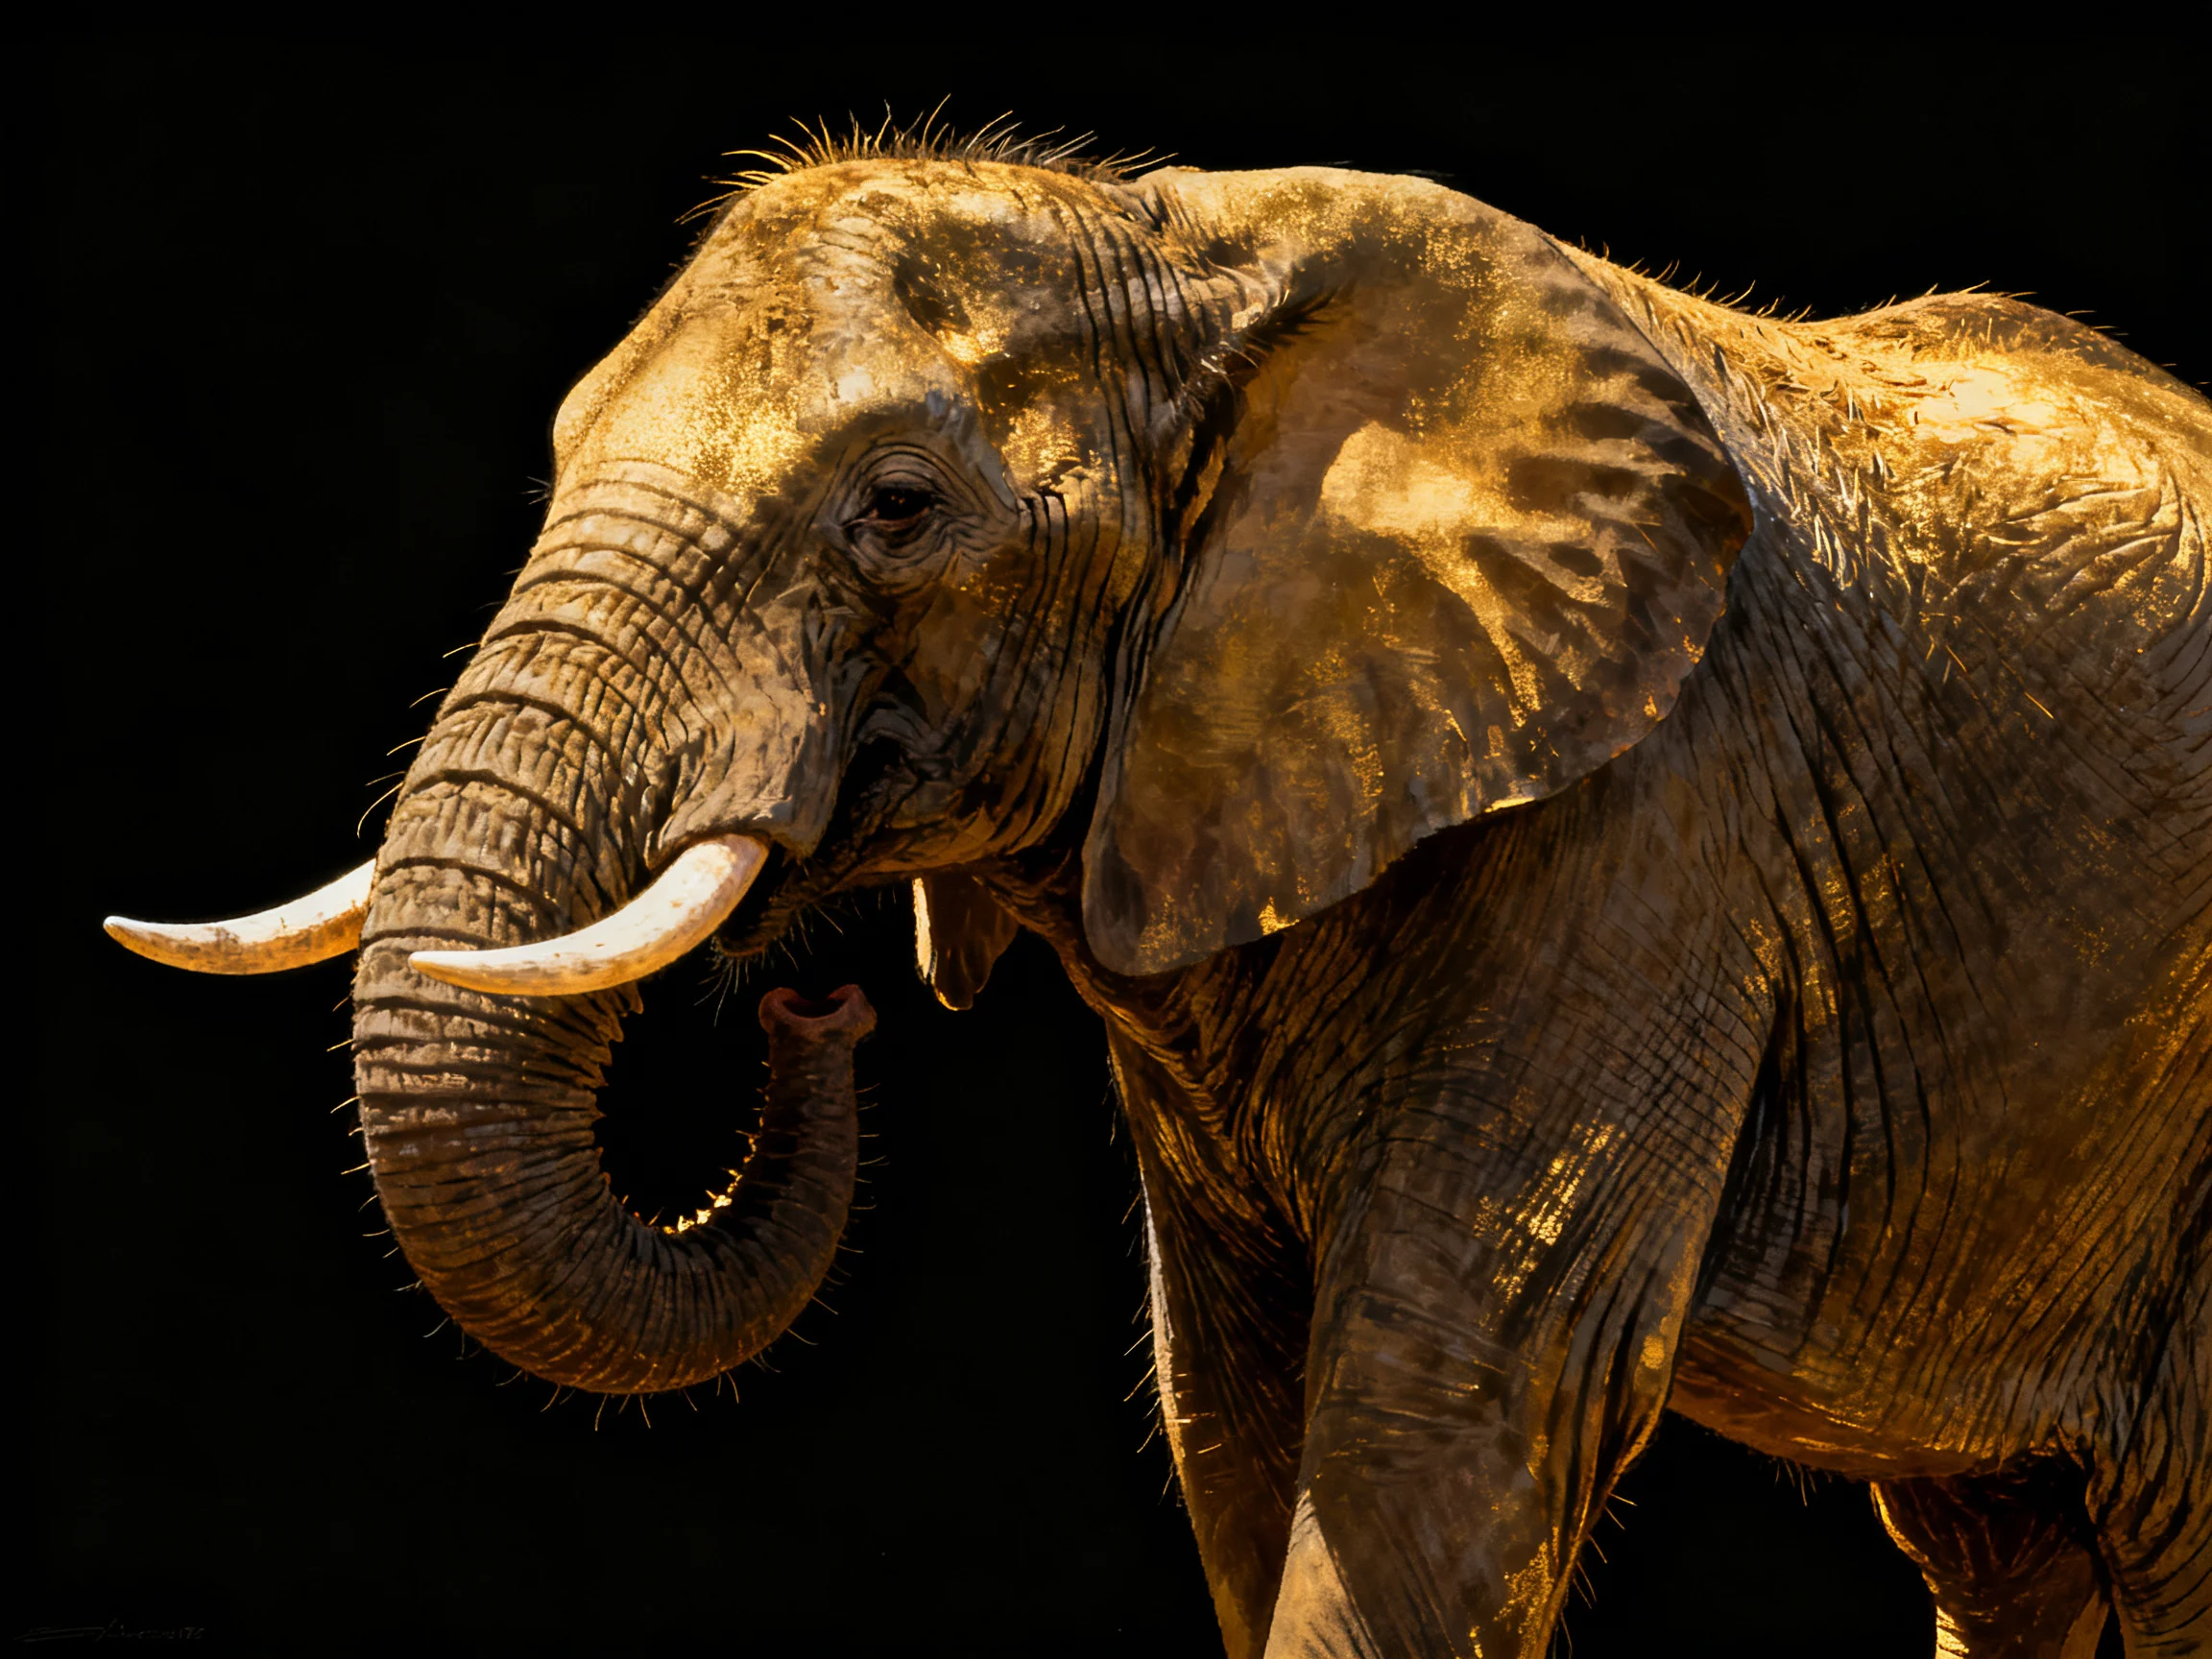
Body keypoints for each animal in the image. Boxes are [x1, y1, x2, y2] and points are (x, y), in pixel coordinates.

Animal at [105, 129, 2209, 1657]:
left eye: (897, 508)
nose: (816, 1010)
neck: (1178, 261)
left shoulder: (1650, 826)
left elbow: (1439, 1419)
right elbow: (1241, 1418)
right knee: (2007, 1547)